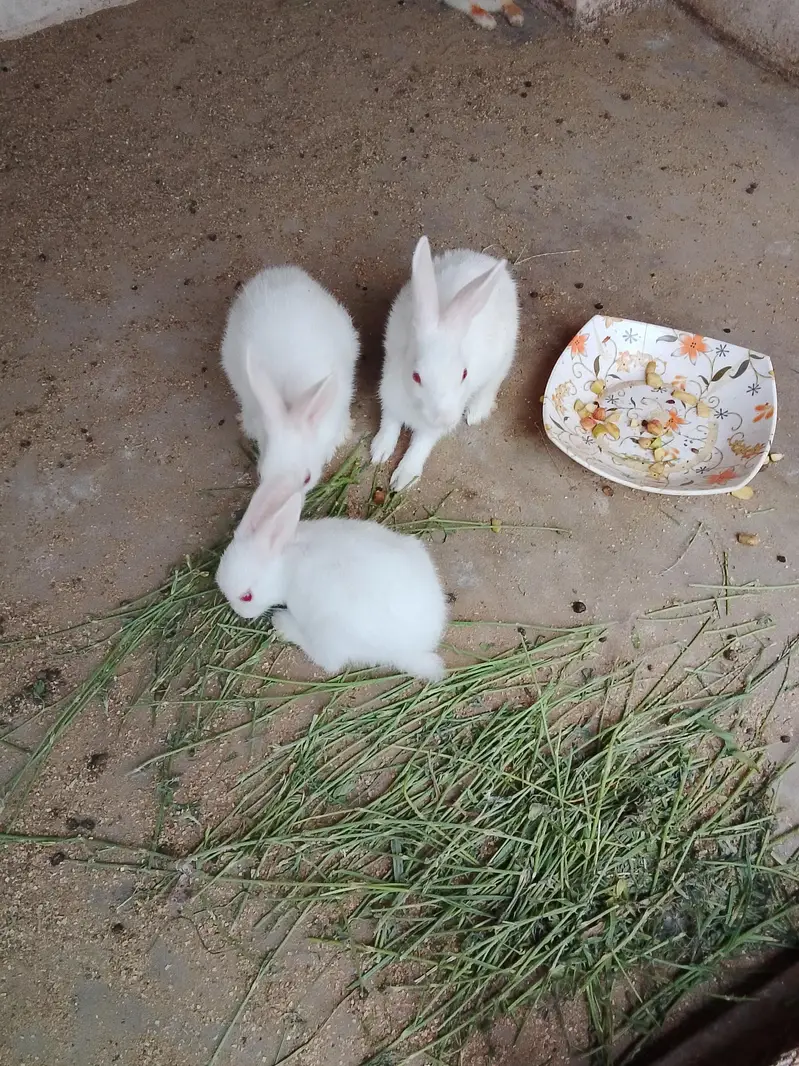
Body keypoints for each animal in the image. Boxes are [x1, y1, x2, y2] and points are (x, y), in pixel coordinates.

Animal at [216, 489, 448, 682]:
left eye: (247, 597)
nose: (240, 613)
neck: (287, 563)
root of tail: (414, 649)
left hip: (329, 632)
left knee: (327, 661)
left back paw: (282, 622)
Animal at [371, 236, 519, 491]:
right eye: (416, 376)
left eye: (464, 374)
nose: (445, 418)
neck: (417, 408)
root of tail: (485, 259)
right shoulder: (389, 399)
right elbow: (389, 425)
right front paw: (379, 451)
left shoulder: (430, 431)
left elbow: (419, 446)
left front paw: (403, 479)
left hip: (503, 358)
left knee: (491, 386)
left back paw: (476, 413)